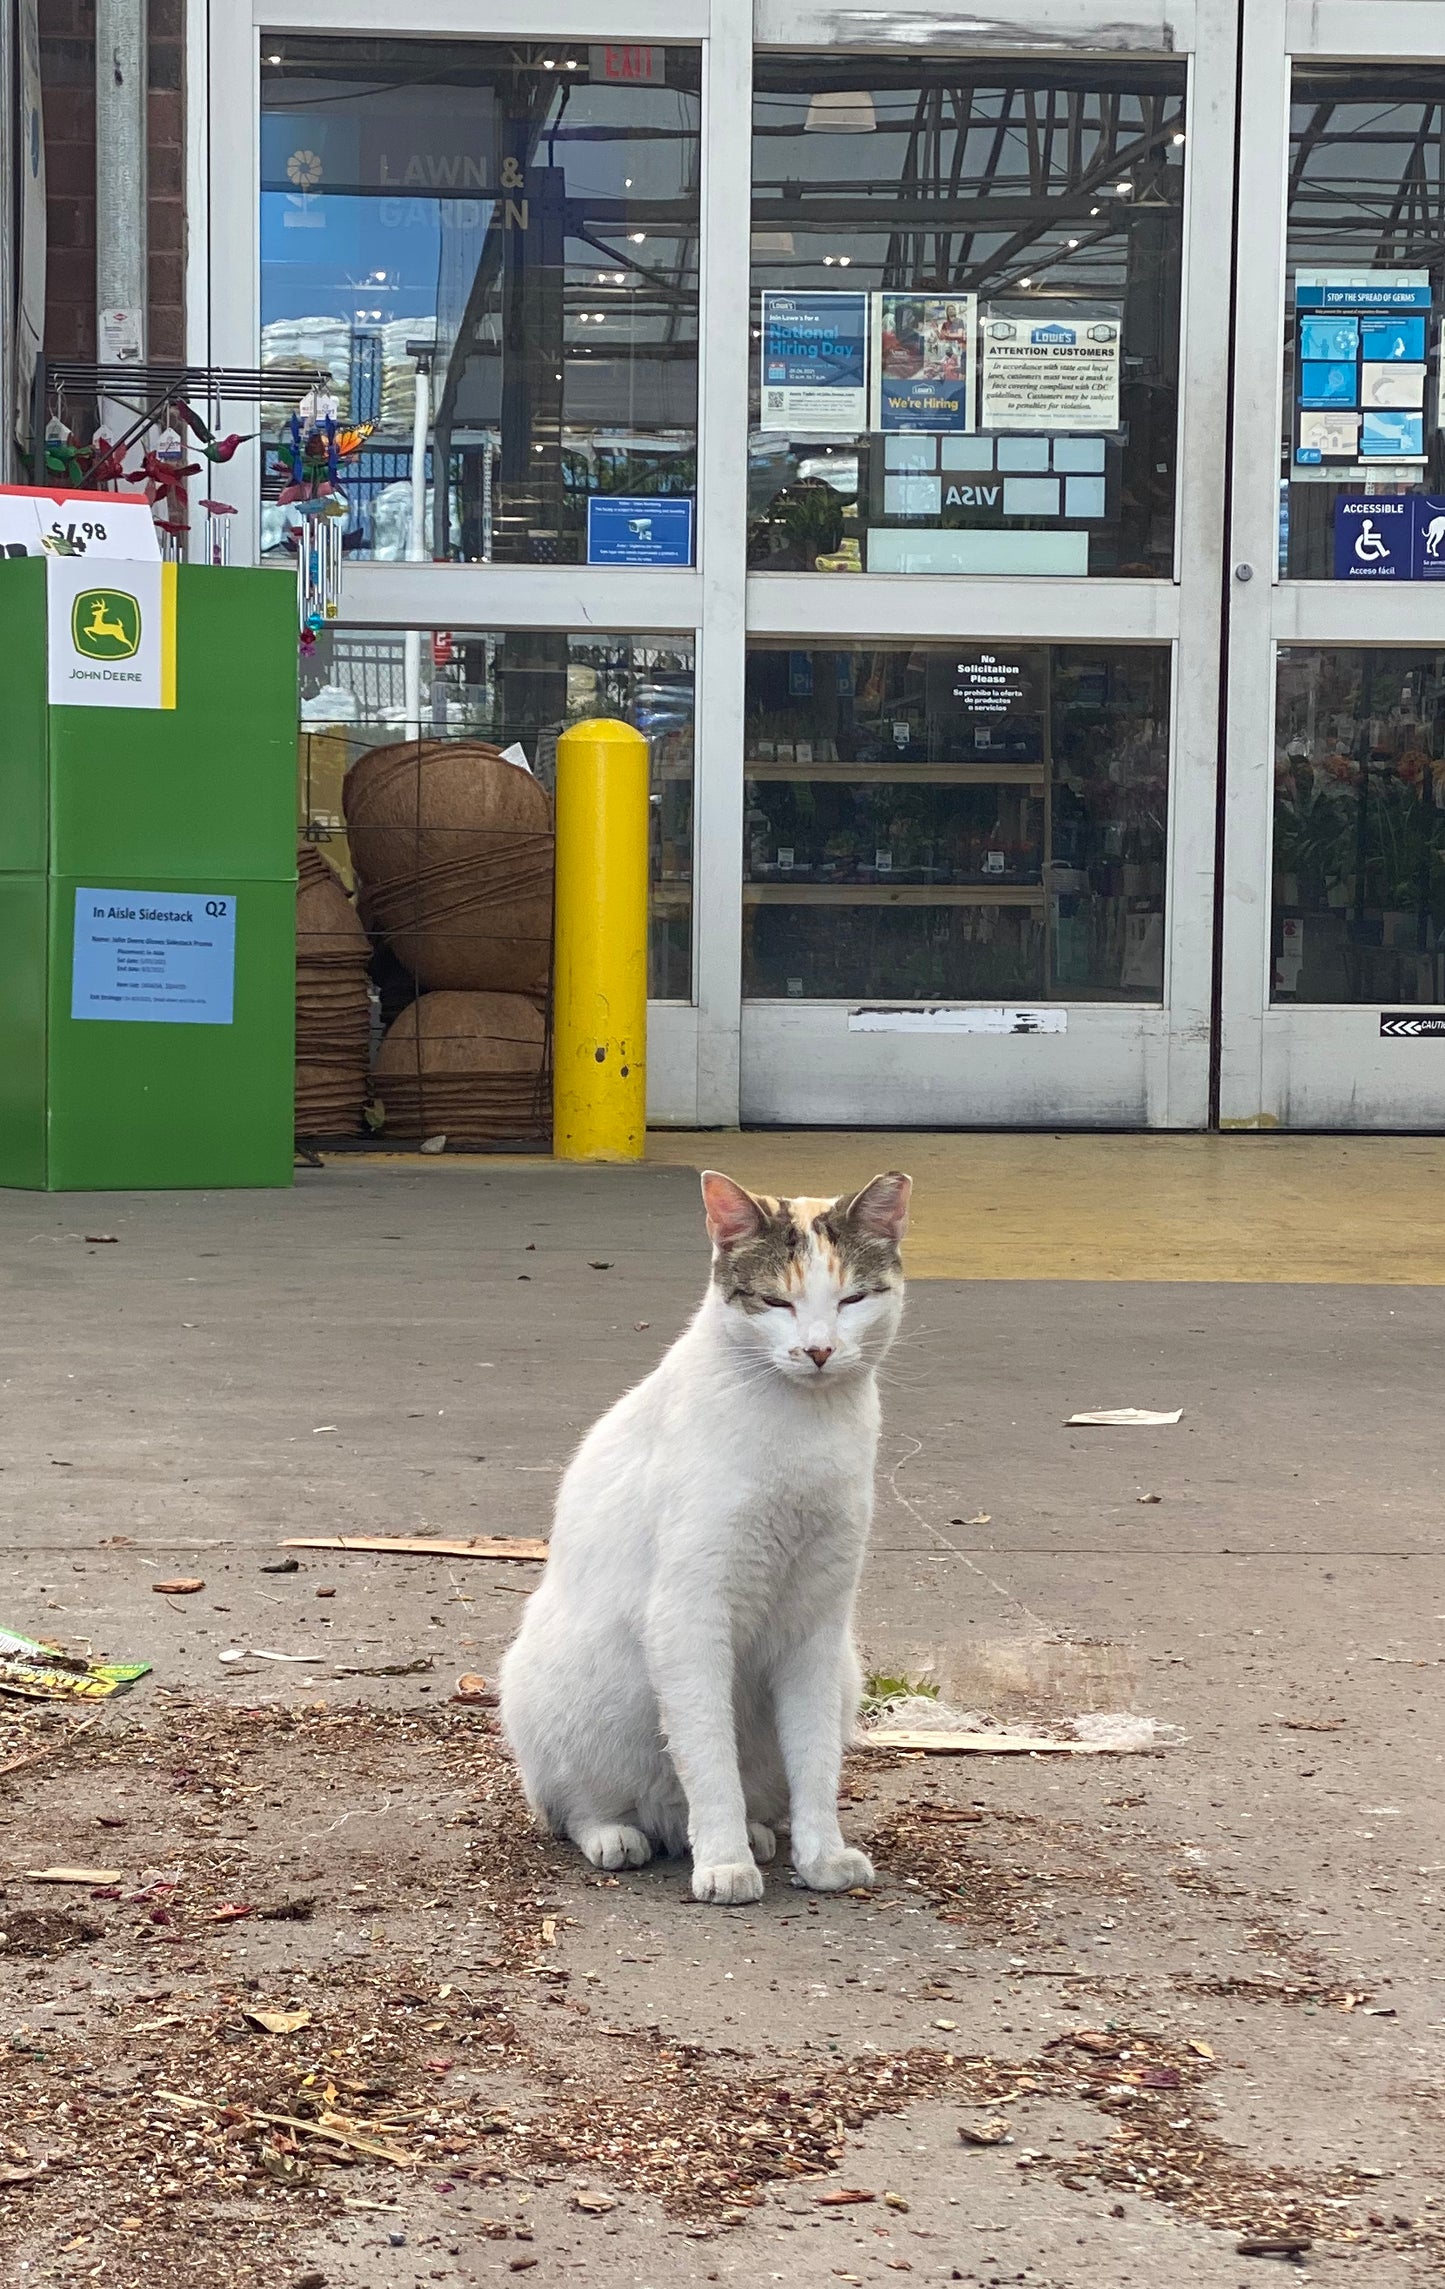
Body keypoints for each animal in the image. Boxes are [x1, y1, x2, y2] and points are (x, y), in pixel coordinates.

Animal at [492, 1171, 911, 1904]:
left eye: (852, 1298)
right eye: (776, 1300)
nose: (819, 1350)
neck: (804, 1430)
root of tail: (662, 1820)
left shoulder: (816, 1625)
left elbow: (814, 1761)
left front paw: (821, 1855)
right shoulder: (689, 1615)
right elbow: (709, 1755)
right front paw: (722, 1862)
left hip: (844, 1674)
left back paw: (759, 1833)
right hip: (576, 1685)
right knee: (579, 1805)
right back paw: (623, 1835)